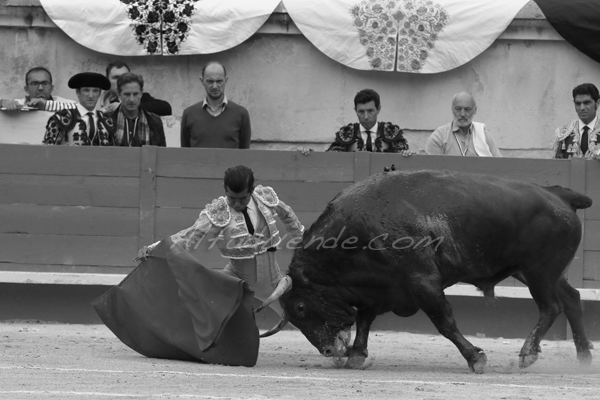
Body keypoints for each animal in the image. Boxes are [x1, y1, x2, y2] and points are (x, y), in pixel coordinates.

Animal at [258, 168, 596, 372]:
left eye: (301, 307)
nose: (329, 352)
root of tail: (559, 195)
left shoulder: (423, 282)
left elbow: (444, 322)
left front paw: (476, 358)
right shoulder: (377, 288)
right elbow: (365, 319)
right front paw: (356, 355)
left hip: (539, 272)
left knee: (551, 306)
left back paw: (528, 353)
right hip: (540, 273)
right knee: (572, 299)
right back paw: (584, 357)